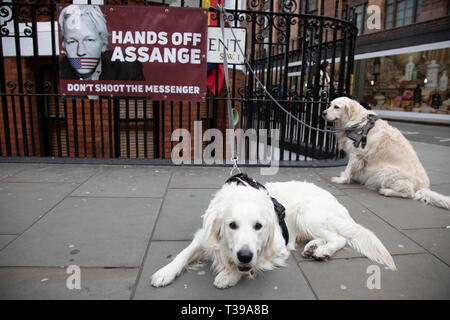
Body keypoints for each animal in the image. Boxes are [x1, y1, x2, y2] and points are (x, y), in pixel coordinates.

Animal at [151, 179, 394, 288]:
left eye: (258, 226)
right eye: (232, 225)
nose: (244, 255)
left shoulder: (276, 247)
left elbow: (252, 263)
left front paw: (230, 275)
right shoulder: (204, 236)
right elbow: (184, 254)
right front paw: (165, 272)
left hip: (307, 214)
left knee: (340, 238)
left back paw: (322, 251)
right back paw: (312, 247)